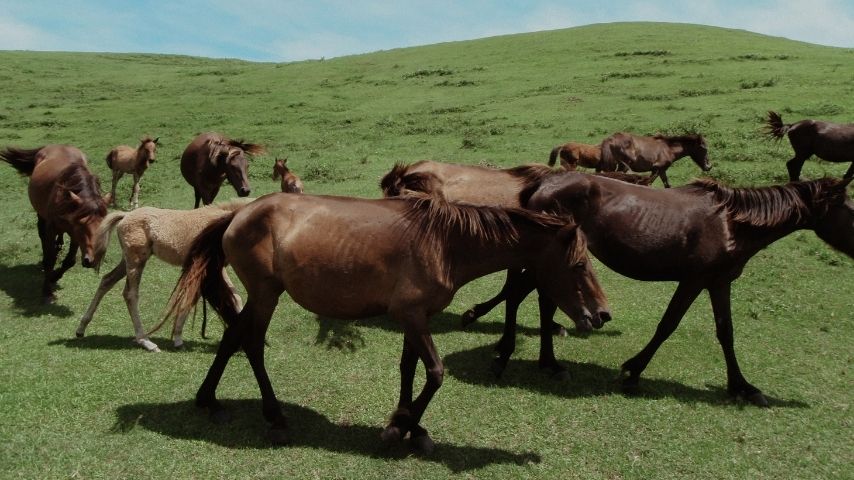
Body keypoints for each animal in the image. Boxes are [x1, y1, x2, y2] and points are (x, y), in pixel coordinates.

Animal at [1, 145, 109, 302]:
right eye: (82, 225)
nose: (93, 260)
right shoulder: (56, 228)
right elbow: (50, 259)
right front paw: (47, 291)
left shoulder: (75, 234)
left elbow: (70, 261)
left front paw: (54, 277)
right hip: (41, 215)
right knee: (42, 235)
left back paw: (58, 245)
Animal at [77, 201, 248, 352]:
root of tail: (126, 215)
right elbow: (190, 300)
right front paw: (178, 339)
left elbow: (236, 297)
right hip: (136, 261)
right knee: (130, 295)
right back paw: (146, 342)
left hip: (127, 261)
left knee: (107, 280)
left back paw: (81, 329)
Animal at [162, 192, 604, 452]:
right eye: (579, 265)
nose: (599, 315)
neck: (444, 242)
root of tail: (238, 213)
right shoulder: (410, 315)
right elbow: (436, 372)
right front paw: (398, 427)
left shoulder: (416, 316)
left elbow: (410, 368)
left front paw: (412, 426)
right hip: (266, 293)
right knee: (251, 343)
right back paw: (275, 416)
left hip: (260, 295)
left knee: (233, 336)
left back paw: (209, 400)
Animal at [525, 172, 853, 407]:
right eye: (850, 208)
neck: (731, 224)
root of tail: (544, 183)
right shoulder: (694, 280)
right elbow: (668, 324)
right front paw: (633, 371)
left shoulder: (719, 282)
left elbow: (726, 332)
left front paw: (742, 387)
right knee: (545, 301)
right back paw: (551, 364)